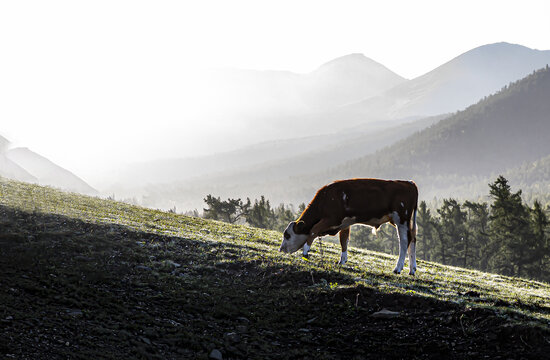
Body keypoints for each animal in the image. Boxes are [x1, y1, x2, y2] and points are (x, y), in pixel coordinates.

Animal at [282, 179, 420, 274]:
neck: (326, 198)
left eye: (287, 235)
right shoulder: (344, 223)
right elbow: (344, 240)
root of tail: (409, 183)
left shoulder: (332, 218)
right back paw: (412, 269)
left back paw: (398, 268)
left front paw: (305, 251)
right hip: (406, 221)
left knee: (404, 241)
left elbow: (313, 230)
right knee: (413, 239)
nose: (281, 249)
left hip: (401, 219)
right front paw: (342, 260)